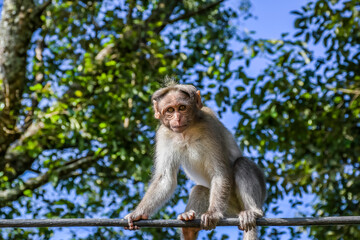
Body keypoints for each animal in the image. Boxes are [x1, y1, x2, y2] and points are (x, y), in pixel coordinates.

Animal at [125, 81, 266, 239]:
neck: (186, 132)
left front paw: (213, 213)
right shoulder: (164, 134)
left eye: (182, 107)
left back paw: (253, 212)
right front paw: (138, 213)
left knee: (242, 163)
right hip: (230, 209)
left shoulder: (209, 127)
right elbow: (165, 178)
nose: (177, 119)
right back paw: (189, 227)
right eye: (170, 110)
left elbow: (220, 172)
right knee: (200, 189)